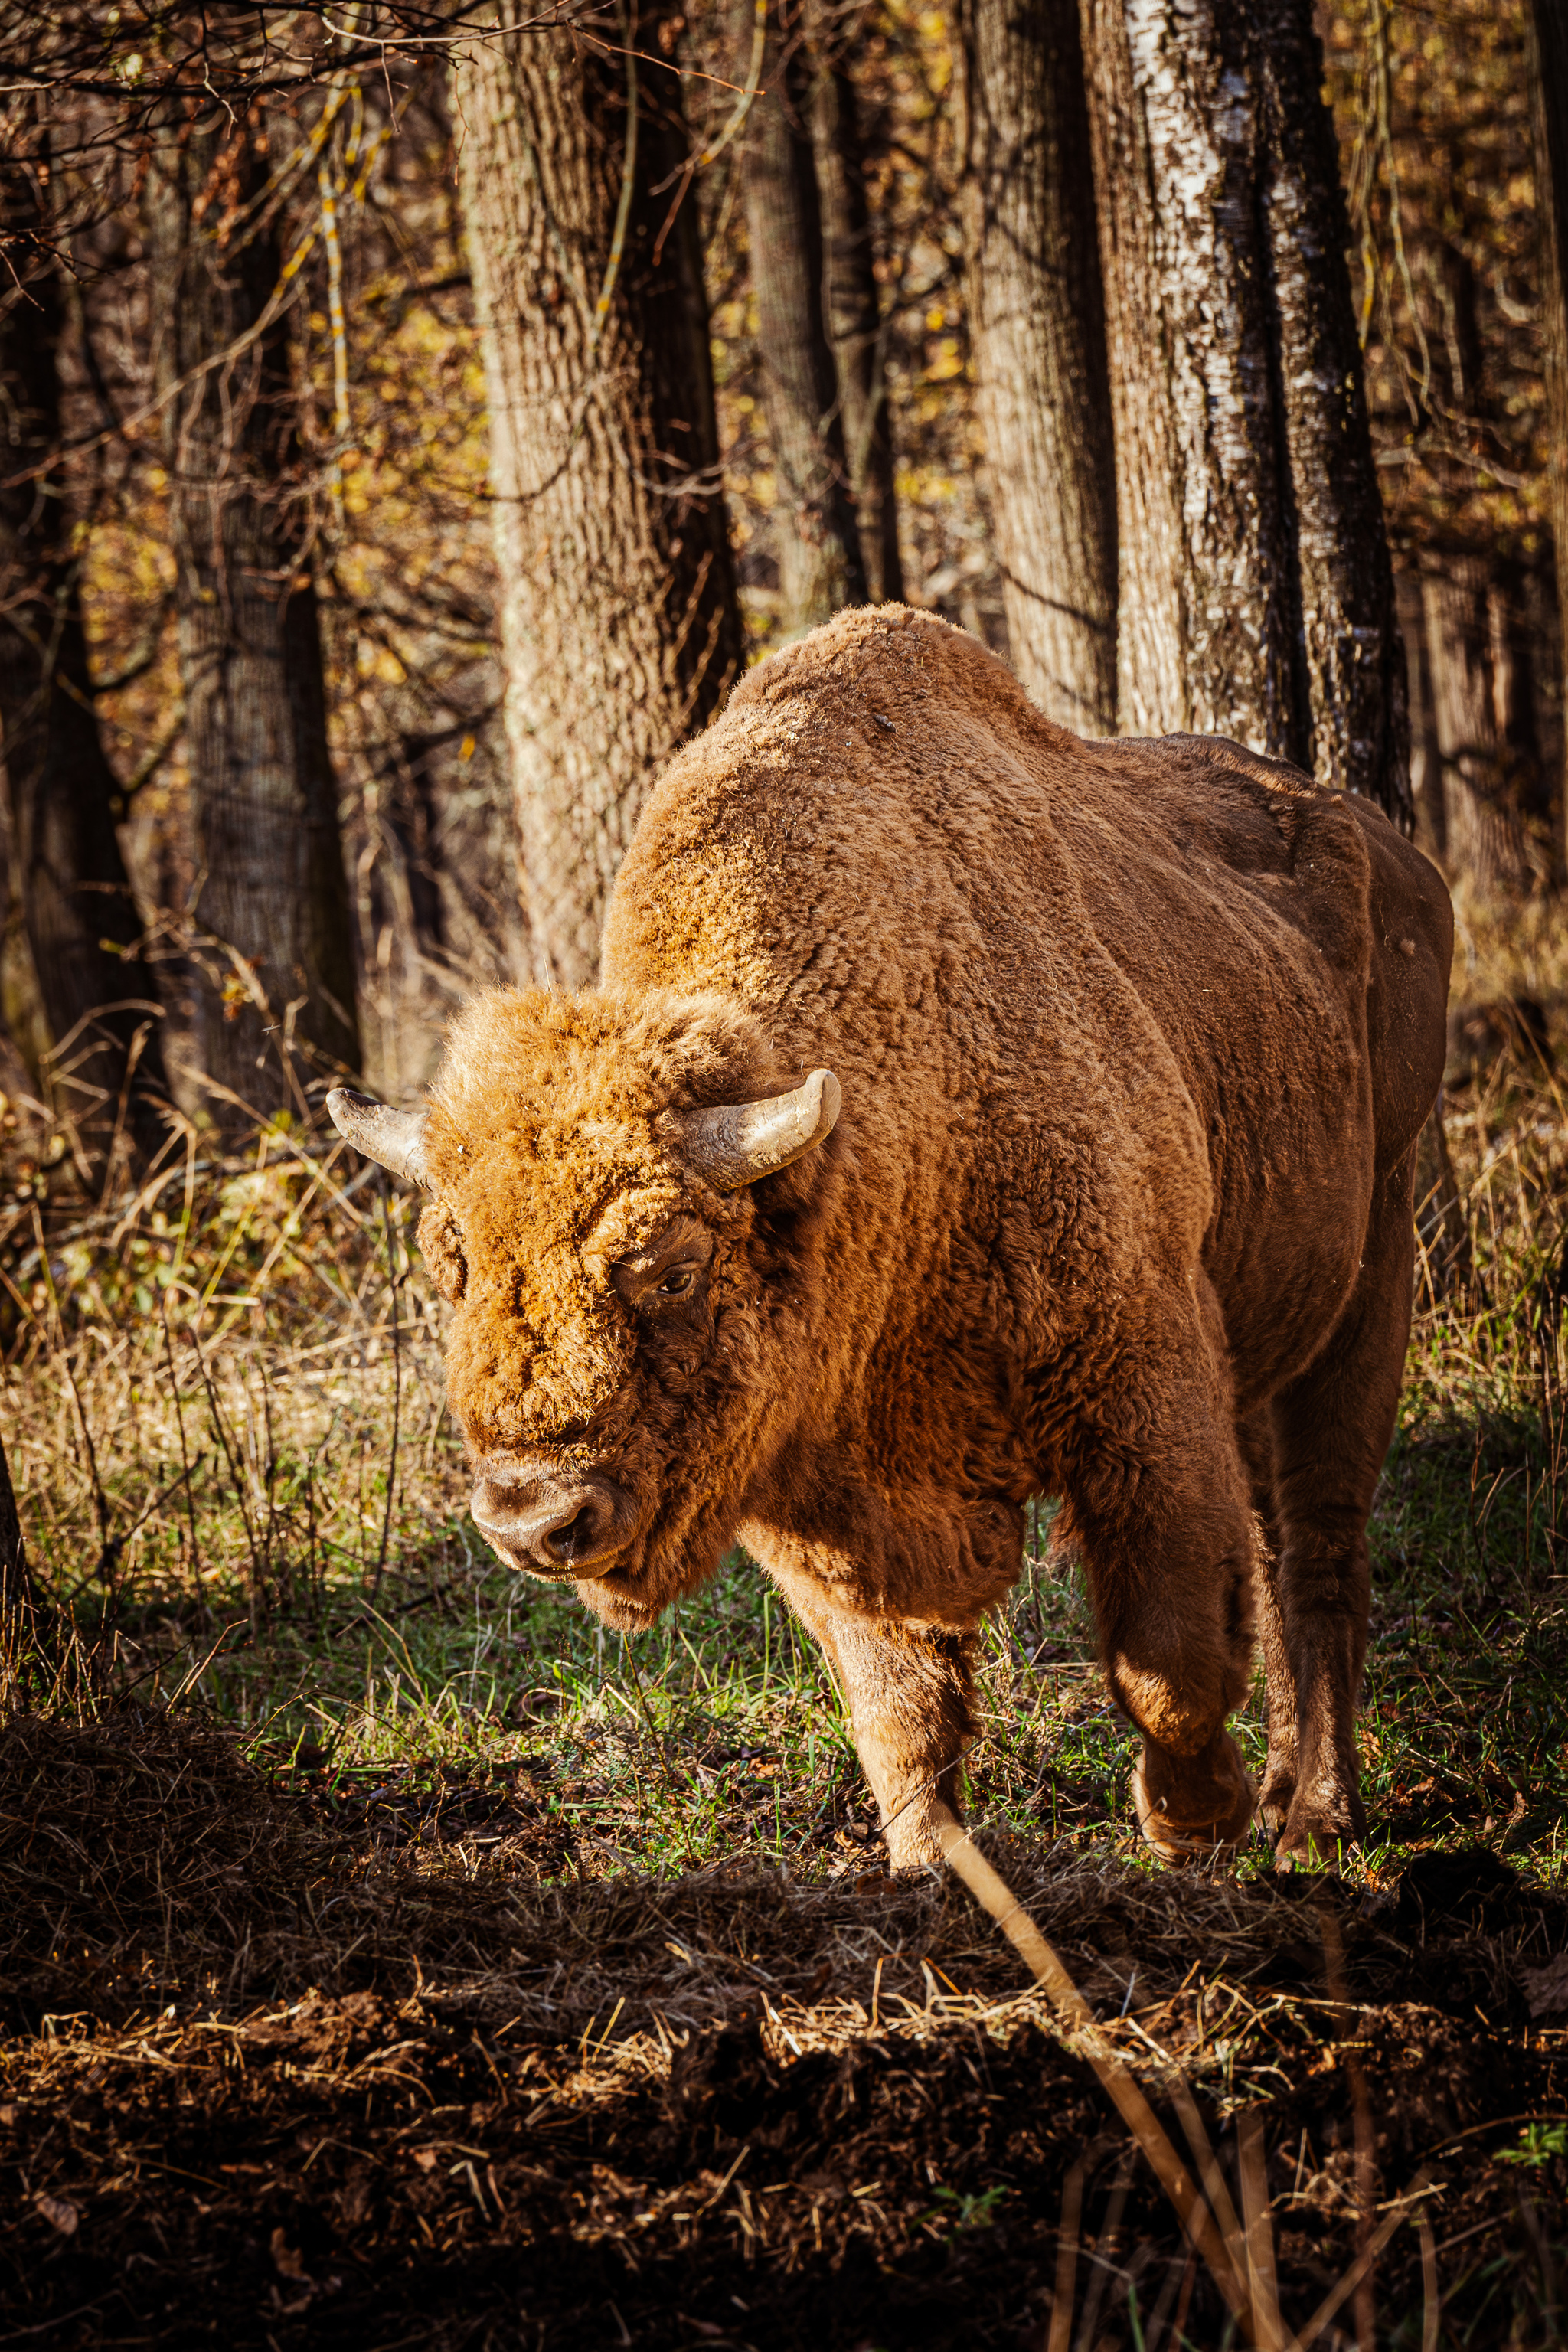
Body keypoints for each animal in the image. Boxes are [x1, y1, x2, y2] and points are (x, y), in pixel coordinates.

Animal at [334, 606, 1457, 1872]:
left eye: (673, 1265)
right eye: (452, 1263)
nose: (534, 1517)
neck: (881, 1146)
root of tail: (1399, 854)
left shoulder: (1143, 1388)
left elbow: (1164, 1654)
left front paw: (1185, 1824)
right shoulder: (822, 1499)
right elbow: (900, 1700)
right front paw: (933, 1865)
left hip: (1376, 1261)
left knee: (1316, 1545)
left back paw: (1314, 1818)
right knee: (1274, 1548)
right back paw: (1279, 1798)